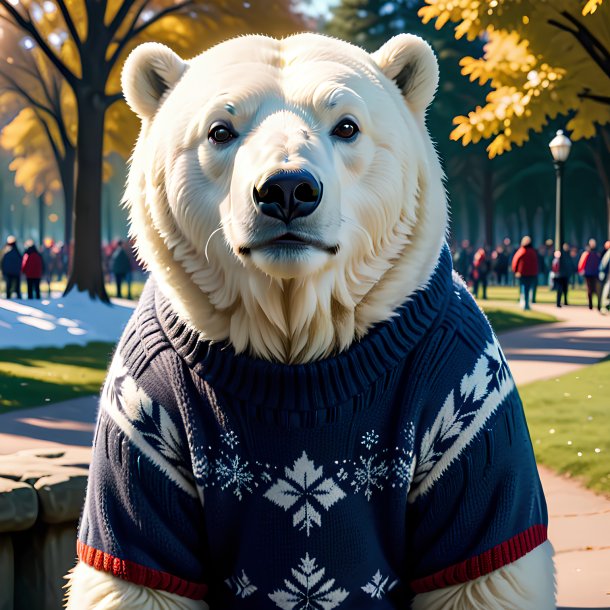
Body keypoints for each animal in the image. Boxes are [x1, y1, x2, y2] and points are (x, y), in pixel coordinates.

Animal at [64, 34, 552, 608]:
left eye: (347, 125)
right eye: (219, 129)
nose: (287, 190)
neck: (298, 346)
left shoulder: (463, 394)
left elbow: (482, 571)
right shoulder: (144, 412)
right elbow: (142, 573)